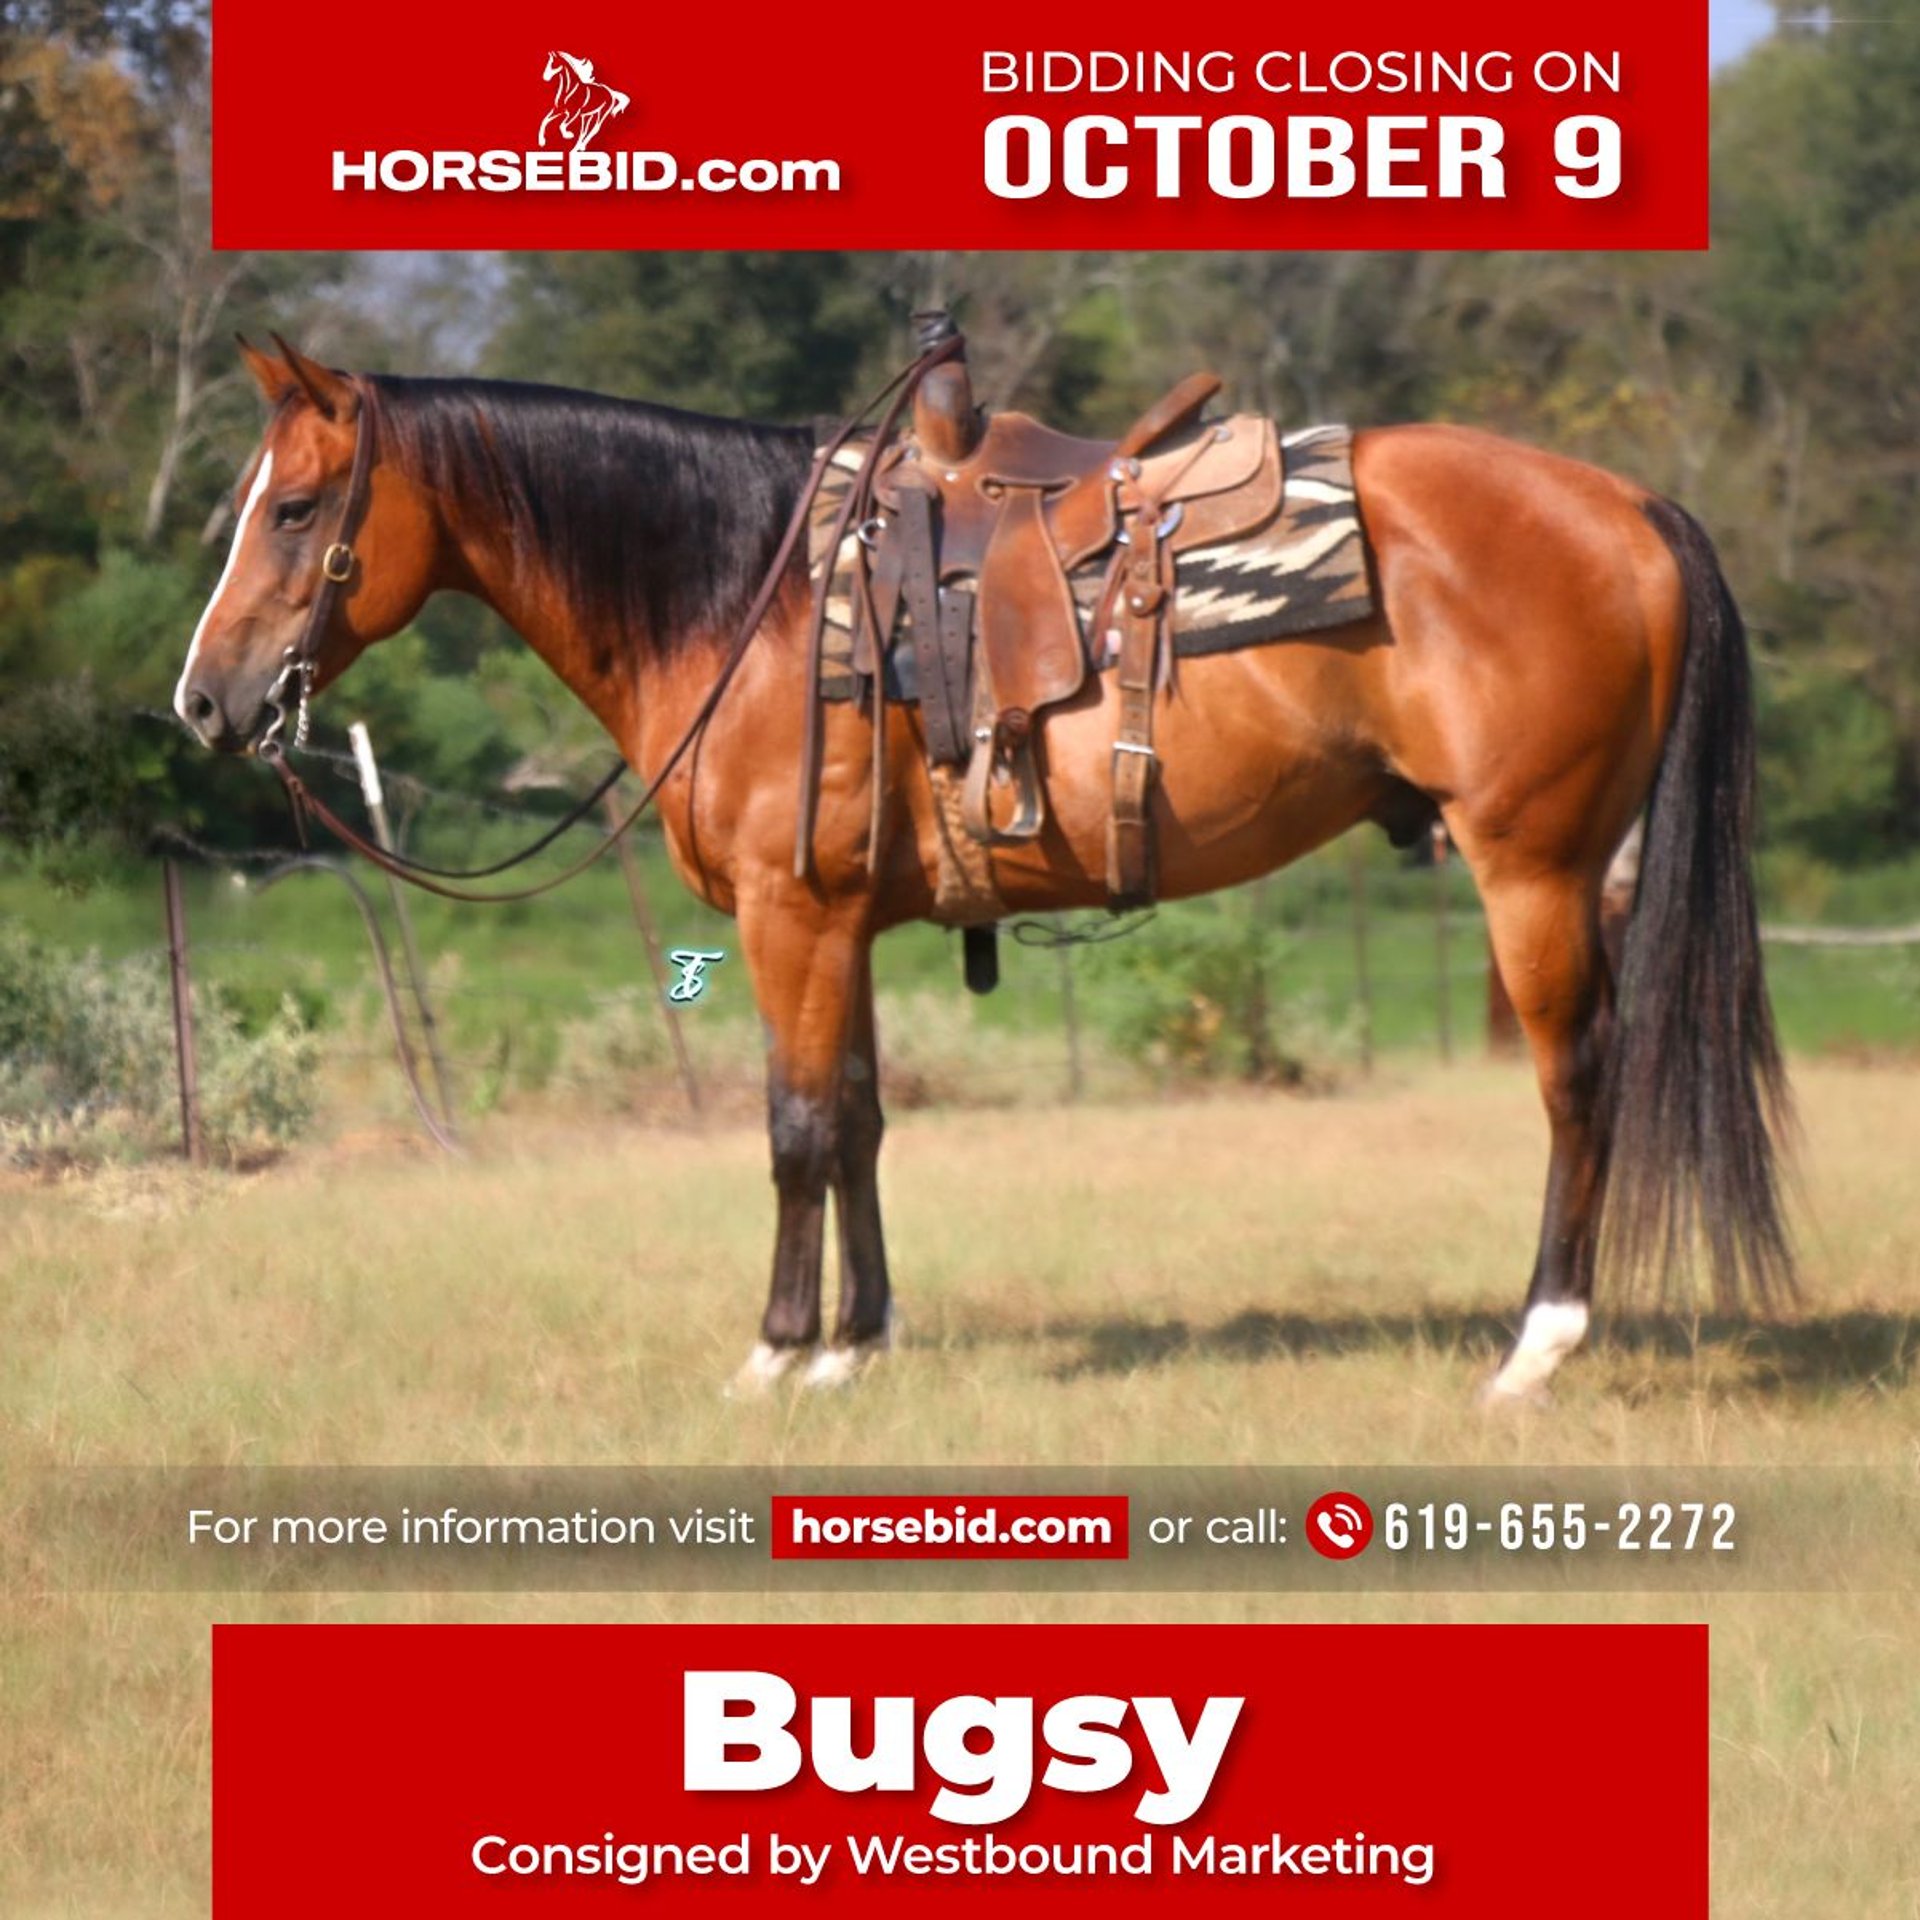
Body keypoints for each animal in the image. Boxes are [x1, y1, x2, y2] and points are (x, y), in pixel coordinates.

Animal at [172, 336, 1793, 1402]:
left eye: (297, 510)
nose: (203, 700)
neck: (750, 598)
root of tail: (1630, 507)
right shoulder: (846, 922)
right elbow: (862, 1120)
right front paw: (860, 1345)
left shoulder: (790, 917)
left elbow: (794, 1128)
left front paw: (775, 1353)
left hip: (1532, 869)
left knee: (1579, 1079)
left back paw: (1538, 1343)